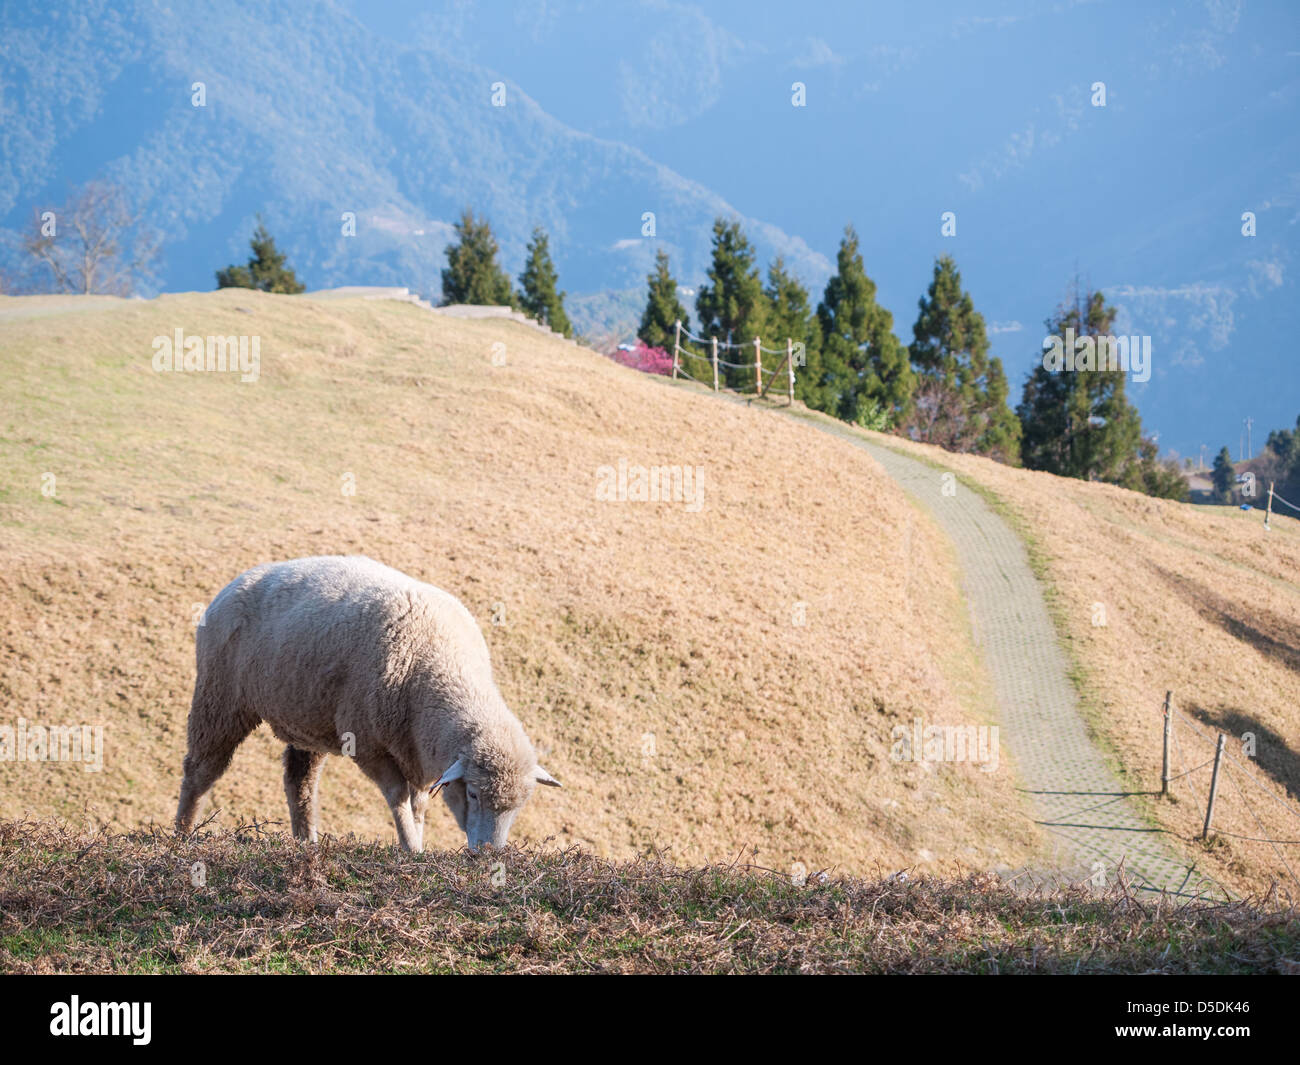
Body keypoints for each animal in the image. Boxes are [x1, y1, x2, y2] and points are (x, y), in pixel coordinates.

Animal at [175, 555, 560, 852]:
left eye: (518, 807)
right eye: (475, 795)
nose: (489, 854)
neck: (438, 666)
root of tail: (236, 581)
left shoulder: (418, 751)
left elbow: (419, 804)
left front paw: (417, 837)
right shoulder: (368, 744)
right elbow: (397, 796)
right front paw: (411, 848)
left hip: (305, 717)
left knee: (299, 783)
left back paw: (306, 842)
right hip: (220, 696)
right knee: (200, 770)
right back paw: (182, 834)